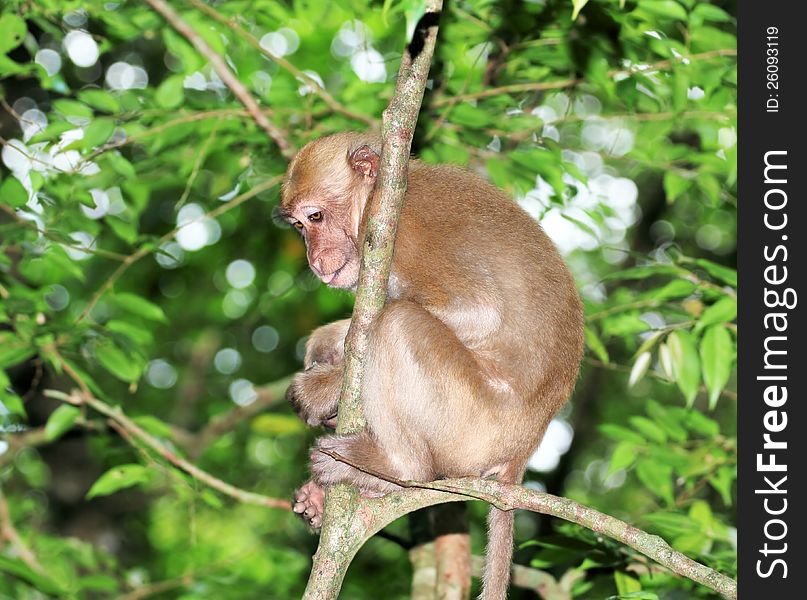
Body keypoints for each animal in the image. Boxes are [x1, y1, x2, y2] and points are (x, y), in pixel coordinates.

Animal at [278, 132, 580, 600]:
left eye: (316, 216)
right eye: (298, 226)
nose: (313, 259)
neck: (374, 203)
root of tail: (520, 453)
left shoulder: (405, 231)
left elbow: (479, 311)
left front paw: (323, 387)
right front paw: (326, 345)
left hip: (471, 424)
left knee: (397, 323)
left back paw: (396, 469)